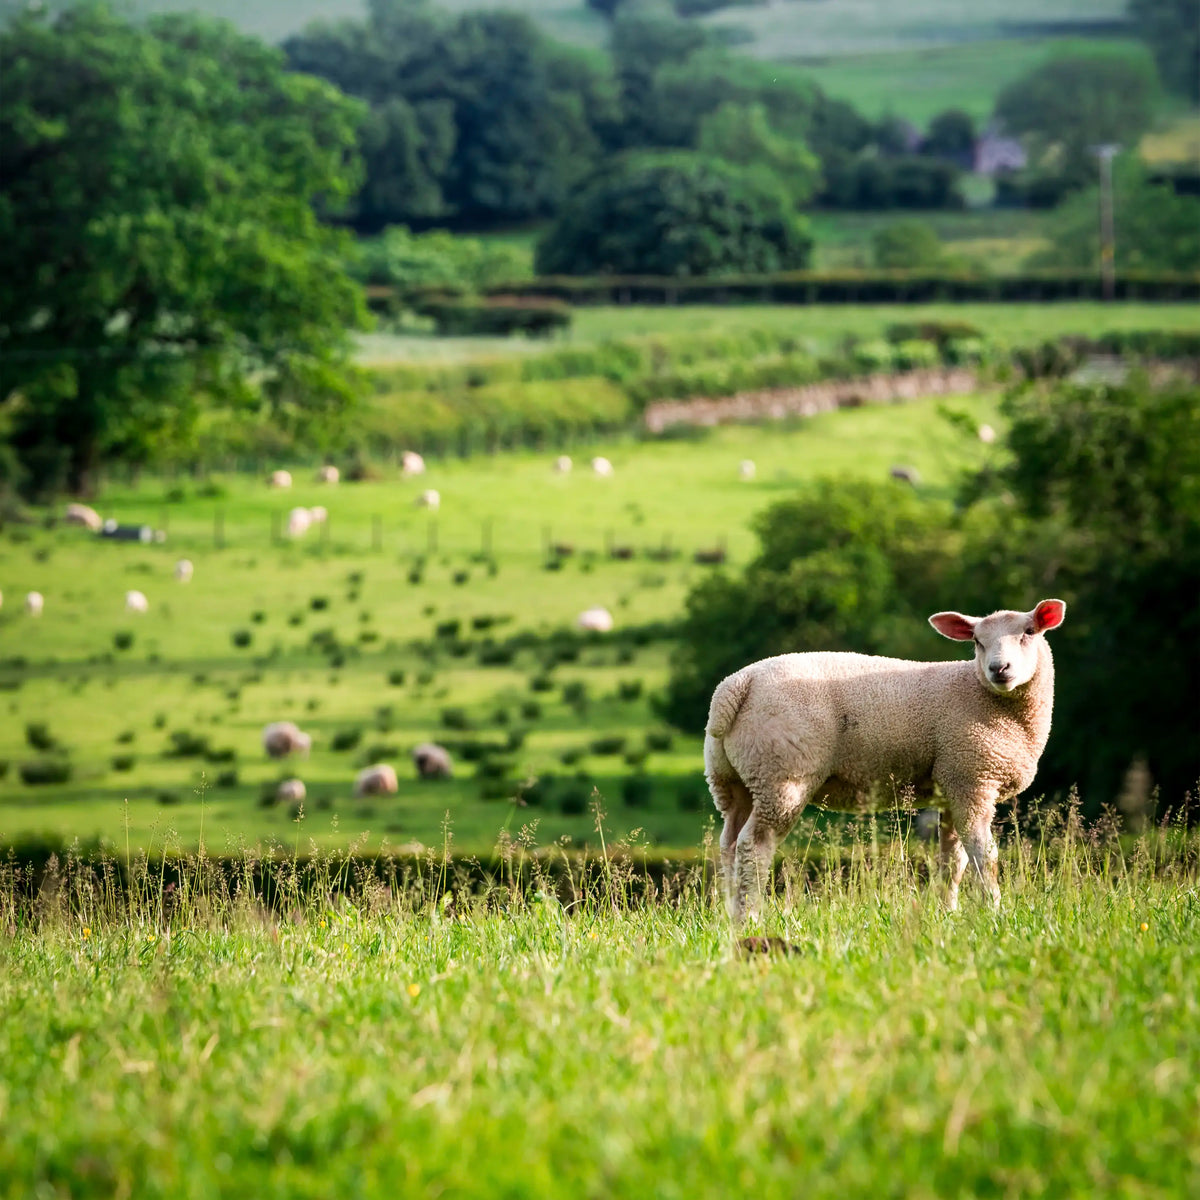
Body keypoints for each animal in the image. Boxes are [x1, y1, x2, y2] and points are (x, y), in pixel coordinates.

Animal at [704, 598, 1067, 922]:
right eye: (977, 641)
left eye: (1029, 632)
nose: (998, 669)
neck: (983, 695)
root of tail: (735, 687)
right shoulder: (973, 780)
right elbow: (984, 855)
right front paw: (994, 910)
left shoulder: (954, 785)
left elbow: (952, 860)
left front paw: (948, 913)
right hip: (783, 776)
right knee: (754, 846)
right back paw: (750, 918)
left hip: (736, 779)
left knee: (729, 844)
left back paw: (730, 916)